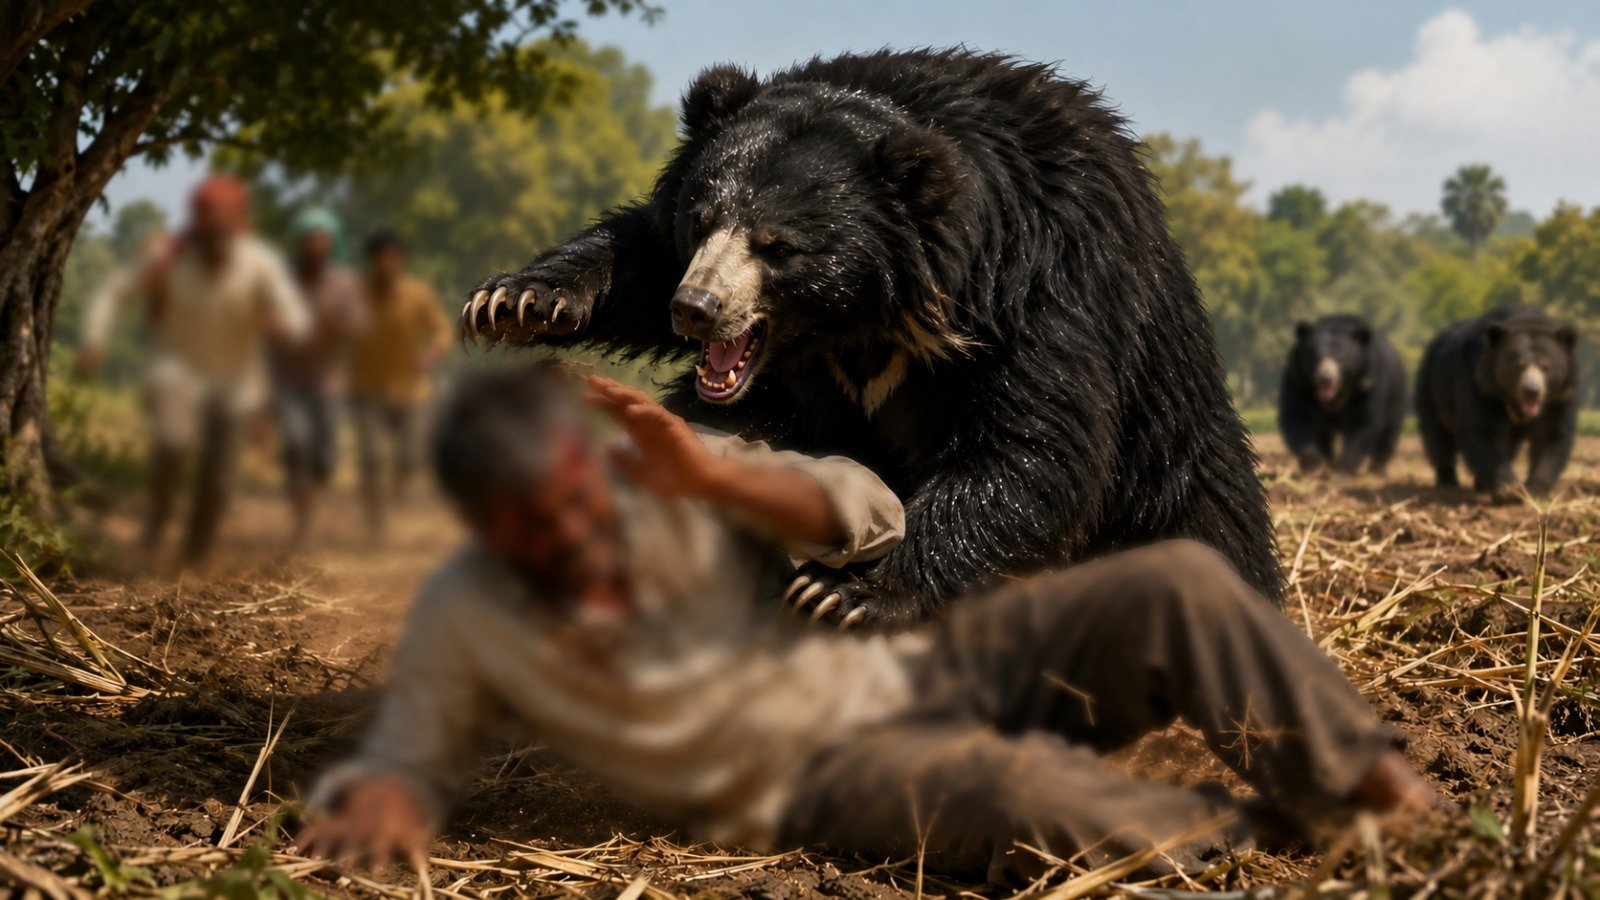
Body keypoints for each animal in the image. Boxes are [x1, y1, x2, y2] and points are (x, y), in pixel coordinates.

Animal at [461, 49, 1282, 624]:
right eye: (703, 220)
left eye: (779, 247)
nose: (694, 309)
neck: (863, 320)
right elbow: (635, 249)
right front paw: (515, 302)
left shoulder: (1047, 283)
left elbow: (1035, 448)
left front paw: (844, 592)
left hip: (1172, 451)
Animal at [1278, 315, 1406, 476]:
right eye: (1316, 357)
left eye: (1341, 359)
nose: (1325, 378)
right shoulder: (1299, 383)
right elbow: (1297, 416)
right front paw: (1313, 465)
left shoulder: (1367, 384)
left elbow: (1363, 421)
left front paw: (1342, 471)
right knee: (1323, 435)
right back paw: (1327, 462)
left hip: (1396, 394)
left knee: (1389, 432)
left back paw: (1377, 470)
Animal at [1416, 305, 1579, 500]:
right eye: (1519, 366)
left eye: (1546, 367)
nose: (1531, 391)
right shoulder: (1480, 385)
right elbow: (1483, 432)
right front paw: (1508, 490)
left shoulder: (1558, 398)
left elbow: (1549, 436)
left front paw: (1535, 491)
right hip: (1431, 388)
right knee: (1438, 436)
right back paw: (1447, 482)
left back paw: (1480, 485)